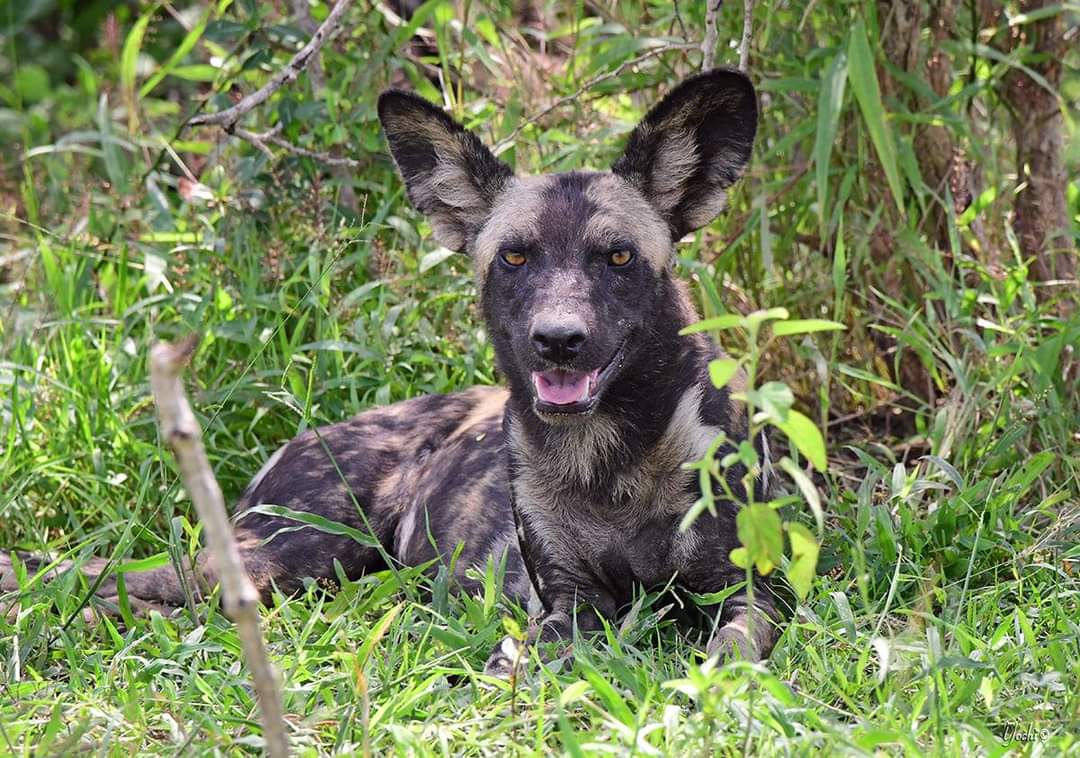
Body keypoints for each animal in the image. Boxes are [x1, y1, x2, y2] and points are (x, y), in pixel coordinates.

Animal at [0, 69, 781, 678]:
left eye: (618, 257)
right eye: (515, 257)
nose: (559, 341)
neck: (610, 462)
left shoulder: (754, 593)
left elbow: (730, 656)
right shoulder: (565, 602)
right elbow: (525, 661)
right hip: (284, 557)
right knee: (112, 578)